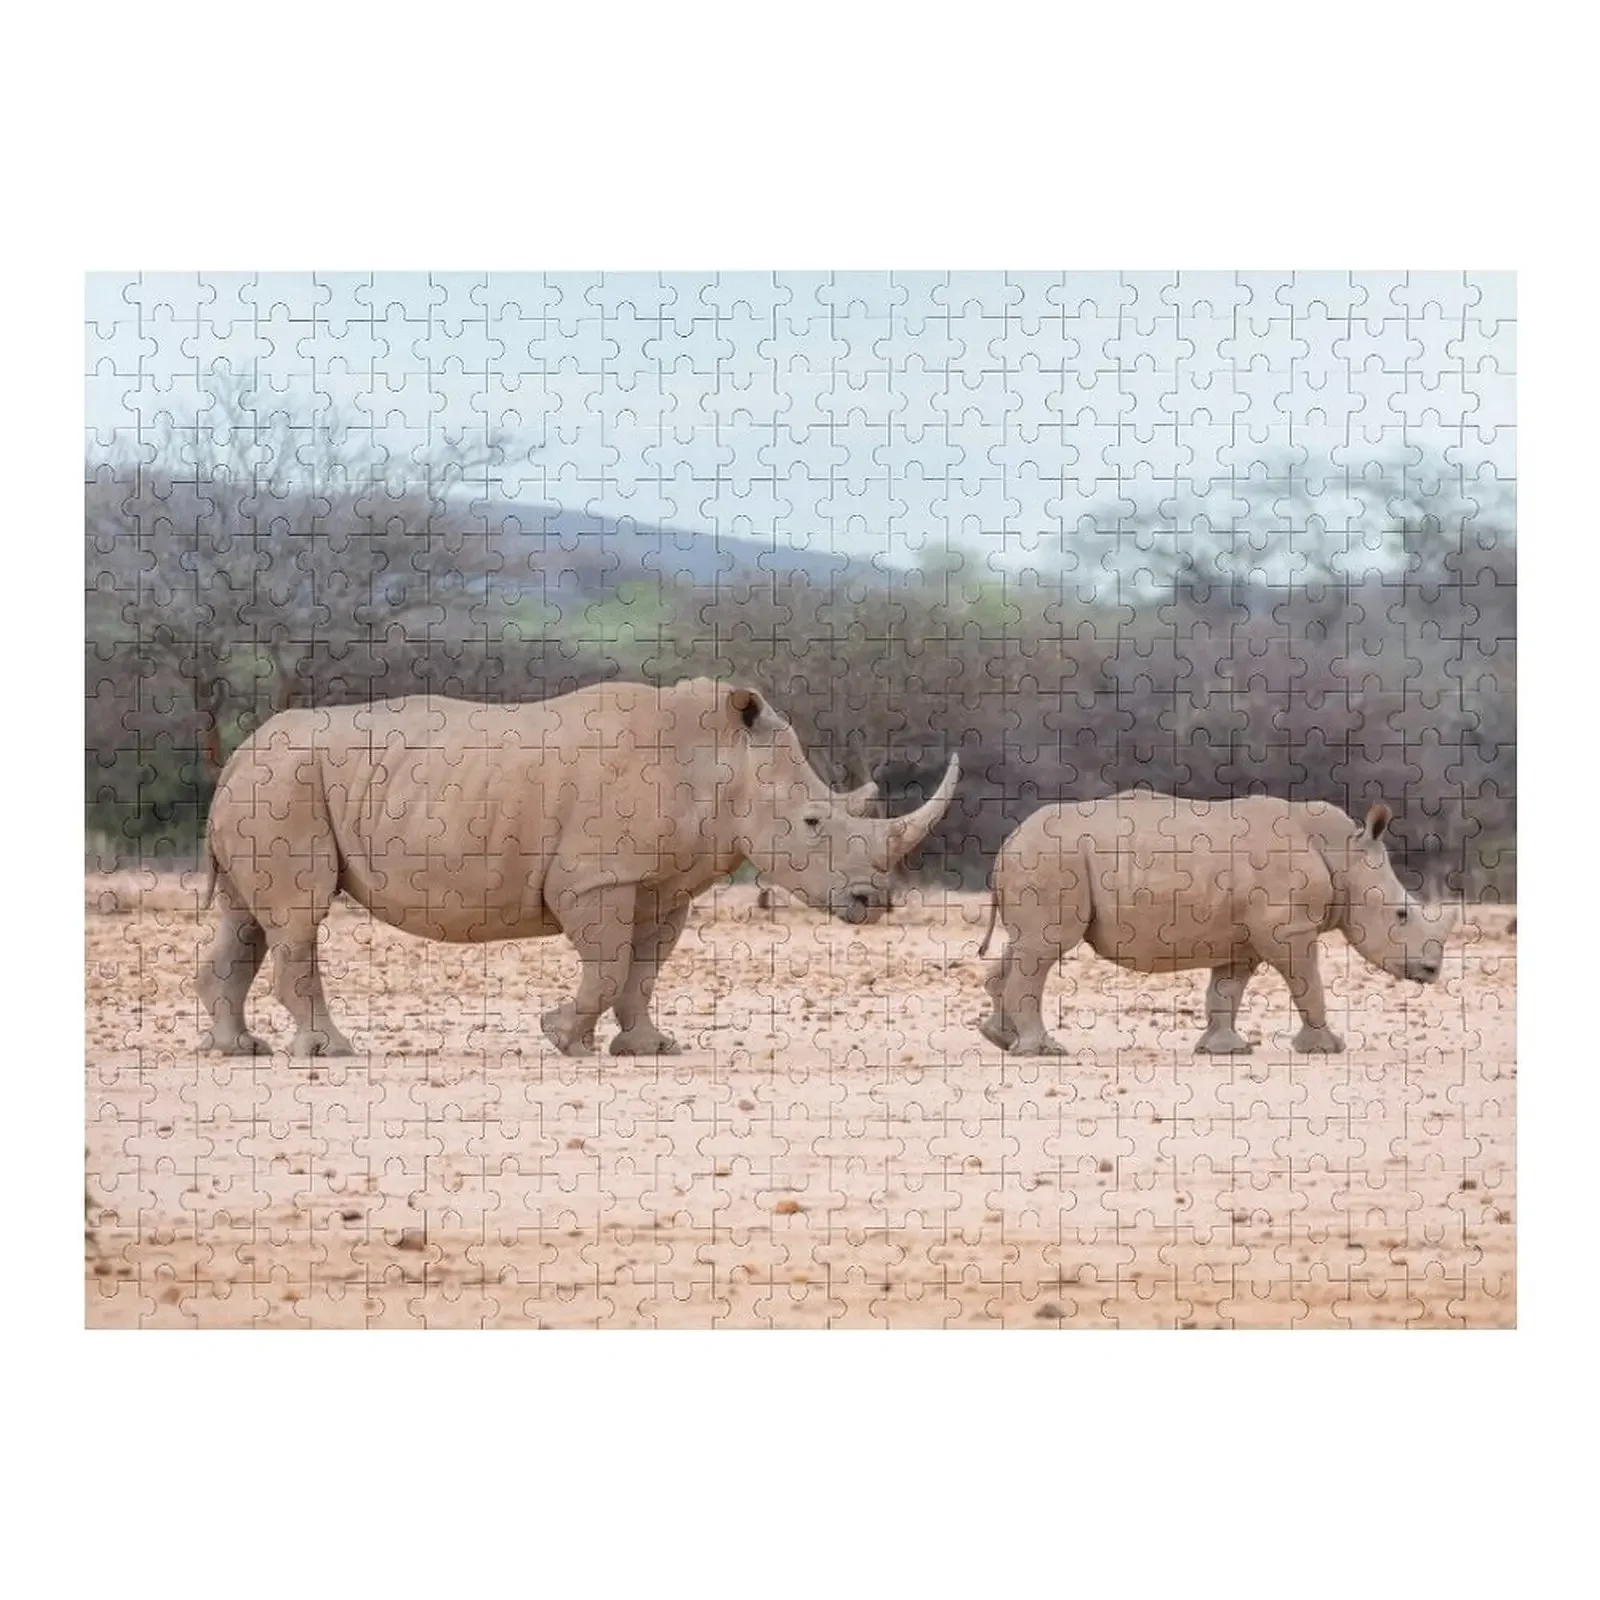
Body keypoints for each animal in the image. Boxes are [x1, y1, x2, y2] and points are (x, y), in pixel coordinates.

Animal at [198, 678, 958, 1058]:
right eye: (812, 824)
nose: (872, 901)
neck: (721, 762)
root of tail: (238, 754)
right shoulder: (598, 874)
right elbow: (609, 964)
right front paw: (560, 1037)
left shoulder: (660, 884)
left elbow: (642, 969)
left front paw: (647, 1047)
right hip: (288, 784)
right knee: (298, 918)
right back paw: (329, 1051)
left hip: (267, 785)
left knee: (247, 920)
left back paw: (238, 1050)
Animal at [975, 792, 1455, 1056]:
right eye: (1401, 914)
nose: (1432, 971)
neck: (1344, 854)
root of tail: (1008, 841)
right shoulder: (1288, 930)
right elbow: (1309, 986)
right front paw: (1328, 1048)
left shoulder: (1244, 939)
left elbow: (1226, 992)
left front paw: (1226, 1050)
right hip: (1052, 858)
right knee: (1043, 950)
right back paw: (1044, 1052)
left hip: (1043, 858)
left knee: (1024, 946)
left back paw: (1002, 1040)